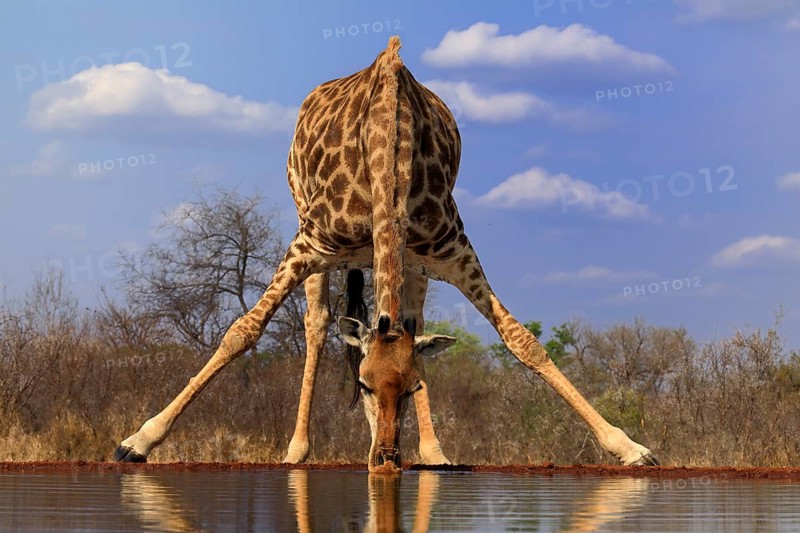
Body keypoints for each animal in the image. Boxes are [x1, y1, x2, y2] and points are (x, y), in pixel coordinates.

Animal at [114, 36, 658, 470]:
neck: (388, 156)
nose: (386, 460)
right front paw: (138, 440)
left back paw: (432, 452)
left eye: (414, 386)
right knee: (317, 323)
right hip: (306, 223)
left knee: (405, 320)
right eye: (364, 385)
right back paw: (297, 449)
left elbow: (522, 341)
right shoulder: (308, 243)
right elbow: (241, 332)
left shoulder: (452, 251)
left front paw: (630, 448)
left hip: (410, 262)